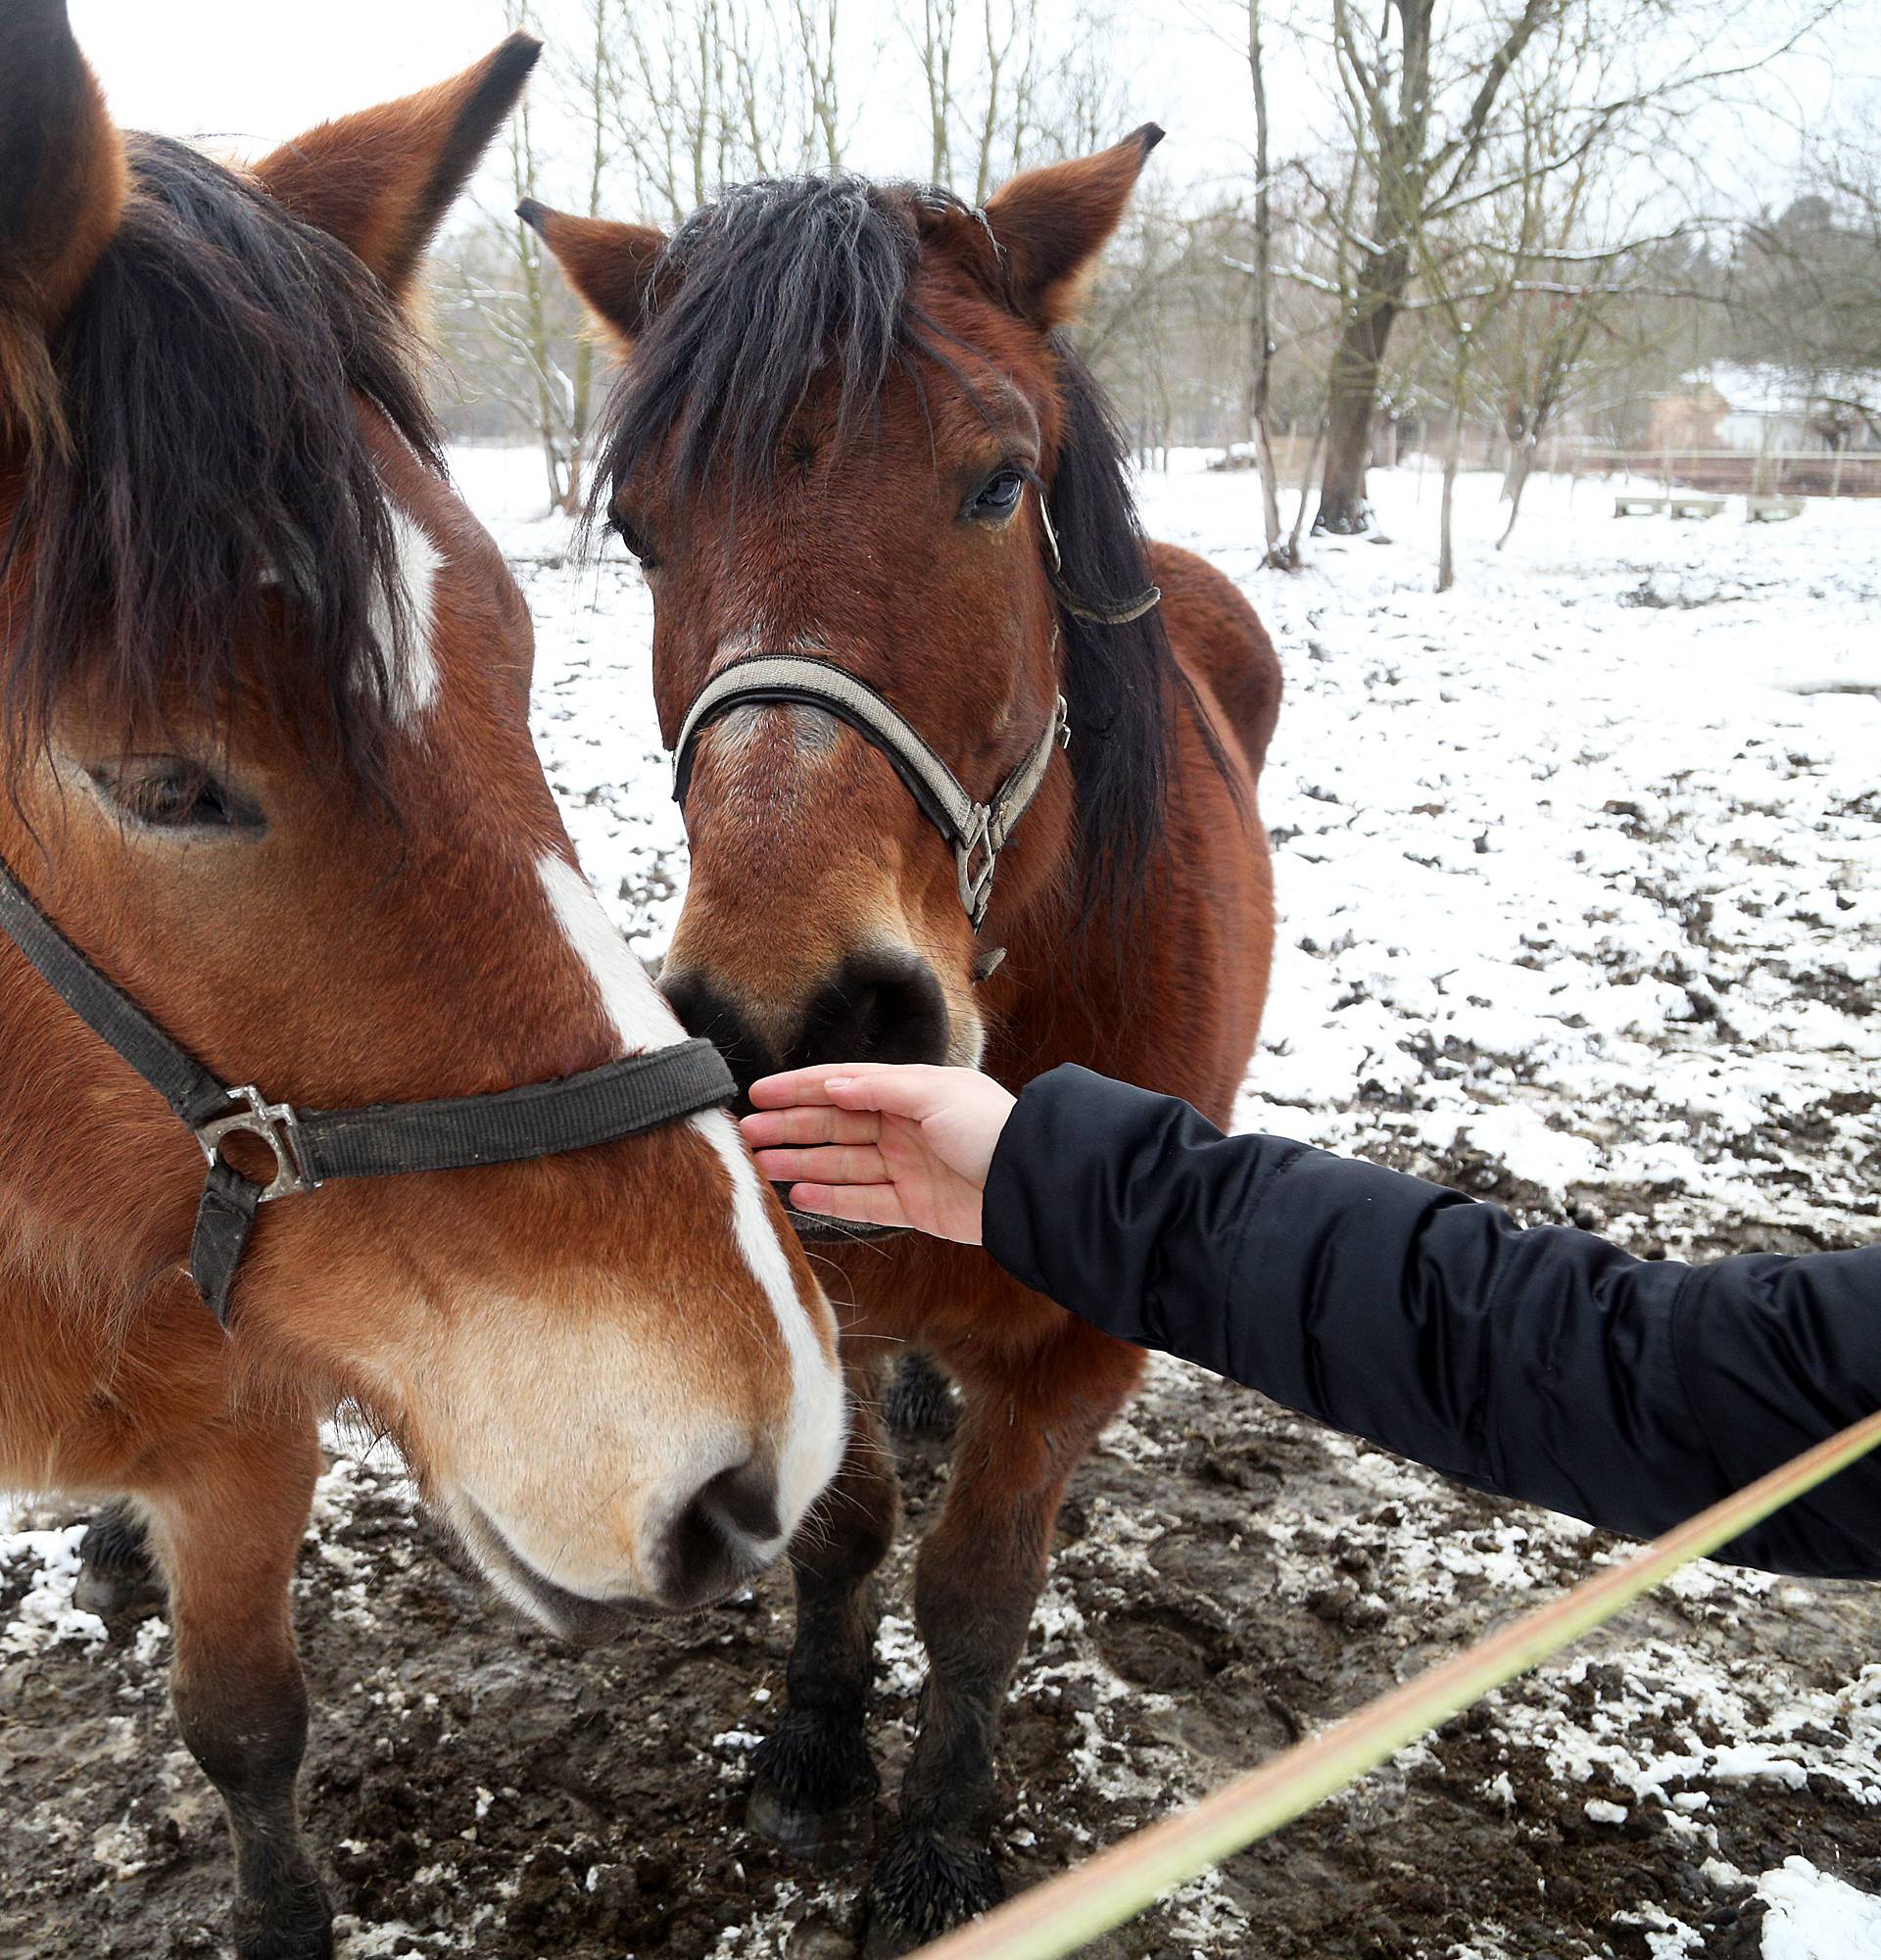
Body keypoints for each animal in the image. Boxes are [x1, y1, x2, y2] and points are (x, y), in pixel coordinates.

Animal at [529, 130, 1278, 1951]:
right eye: (641, 530)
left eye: (1000, 483)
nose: (791, 1017)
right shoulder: (833, 1283)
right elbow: (847, 1532)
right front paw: (813, 1748)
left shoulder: (1084, 1344)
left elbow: (979, 1589)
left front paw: (940, 1839)